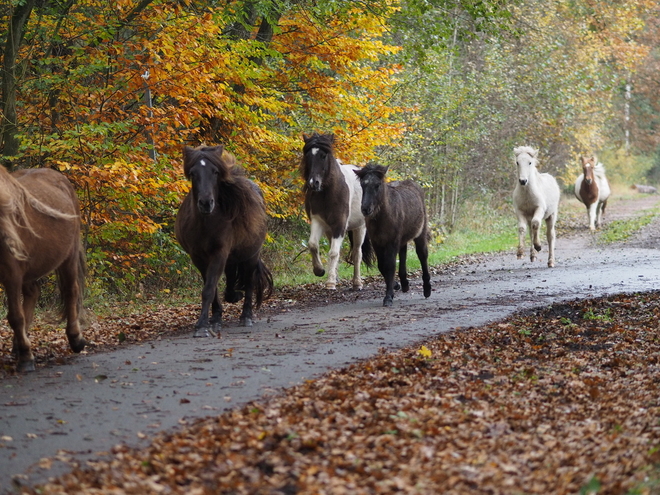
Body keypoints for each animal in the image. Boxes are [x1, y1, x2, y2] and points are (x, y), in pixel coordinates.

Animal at [0, 167, 86, 372]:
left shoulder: (11, 274)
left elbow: (15, 317)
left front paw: (26, 358)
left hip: (68, 257)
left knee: (71, 291)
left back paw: (75, 339)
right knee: (32, 293)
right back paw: (19, 344)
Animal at [175, 144, 274, 338]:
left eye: (215, 172)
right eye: (193, 173)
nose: (206, 203)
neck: (206, 223)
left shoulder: (219, 253)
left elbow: (209, 288)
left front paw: (202, 326)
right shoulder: (198, 257)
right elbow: (211, 287)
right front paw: (215, 319)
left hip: (250, 256)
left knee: (249, 282)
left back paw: (246, 316)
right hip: (231, 258)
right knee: (230, 279)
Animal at [300, 134, 372, 292]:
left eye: (323, 155)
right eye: (308, 155)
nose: (313, 183)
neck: (327, 192)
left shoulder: (340, 224)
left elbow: (333, 253)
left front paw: (330, 283)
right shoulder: (318, 221)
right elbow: (313, 244)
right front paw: (319, 270)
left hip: (360, 227)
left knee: (357, 253)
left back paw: (357, 283)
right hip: (329, 229)